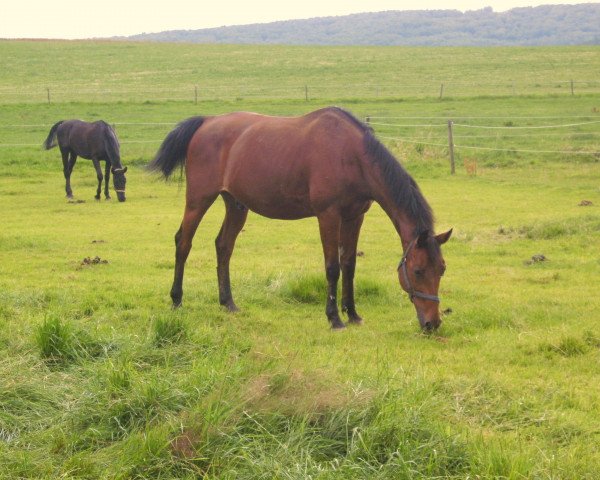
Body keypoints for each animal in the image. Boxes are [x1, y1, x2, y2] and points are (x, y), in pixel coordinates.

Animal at [150, 106, 450, 330]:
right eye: (418, 271)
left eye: (442, 269)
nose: (432, 323)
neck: (351, 155)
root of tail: (206, 122)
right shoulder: (328, 215)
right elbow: (332, 267)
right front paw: (334, 318)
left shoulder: (355, 217)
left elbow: (349, 264)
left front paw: (352, 313)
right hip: (198, 200)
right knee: (183, 243)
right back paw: (177, 300)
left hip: (236, 205)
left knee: (223, 247)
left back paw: (228, 303)